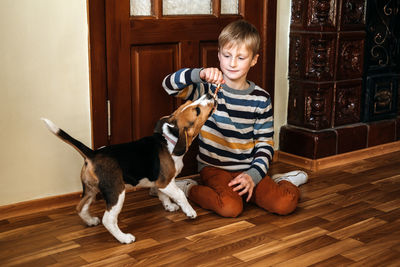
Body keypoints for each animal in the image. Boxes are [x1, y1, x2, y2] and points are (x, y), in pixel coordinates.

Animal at [41, 93, 216, 244]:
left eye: (191, 102)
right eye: (197, 110)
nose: (208, 94)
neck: (171, 140)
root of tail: (93, 153)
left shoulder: (161, 182)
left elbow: (163, 195)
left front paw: (169, 206)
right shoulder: (166, 182)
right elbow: (179, 194)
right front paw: (189, 211)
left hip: (91, 189)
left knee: (80, 207)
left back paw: (90, 221)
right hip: (116, 191)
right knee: (108, 219)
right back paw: (124, 238)